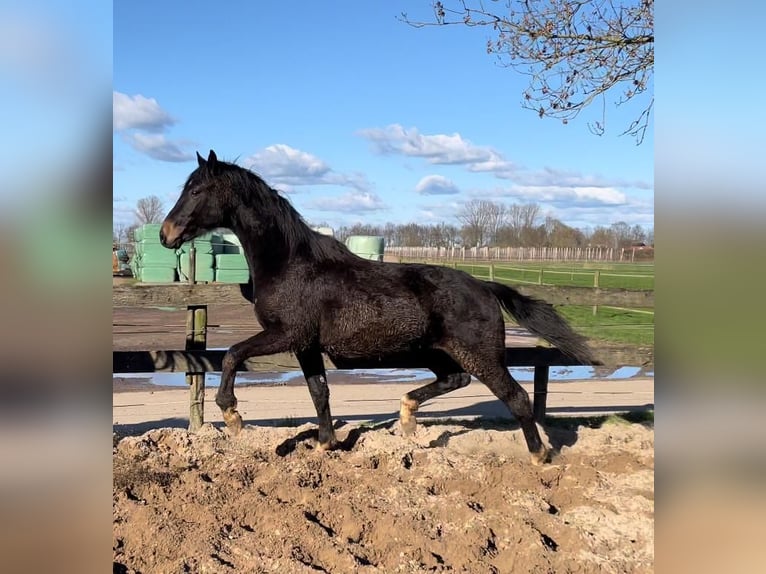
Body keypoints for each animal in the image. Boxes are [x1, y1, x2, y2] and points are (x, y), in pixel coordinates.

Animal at [160, 150, 598, 465]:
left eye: (196, 191)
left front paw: (233, 417)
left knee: (516, 397)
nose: (165, 234)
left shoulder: (286, 334)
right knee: (455, 380)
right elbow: (319, 392)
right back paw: (406, 417)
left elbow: (232, 355)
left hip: (479, 355)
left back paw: (539, 456)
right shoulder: (306, 345)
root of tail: (485, 286)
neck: (290, 263)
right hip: (434, 352)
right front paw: (326, 444)